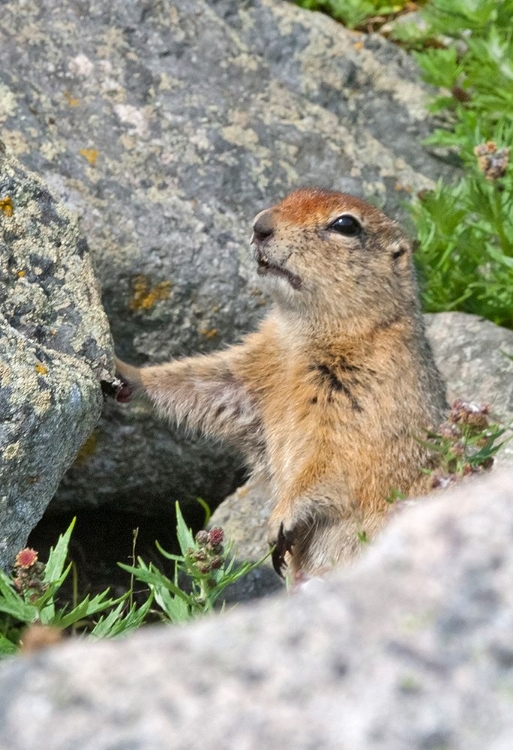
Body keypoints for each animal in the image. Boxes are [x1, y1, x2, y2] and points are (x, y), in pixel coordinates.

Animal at [114, 188, 446, 580]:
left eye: (345, 225)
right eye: (290, 195)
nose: (260, 225)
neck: (302, 335)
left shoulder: (369, 390)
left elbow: (336, 459)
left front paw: (280, 522)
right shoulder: (257, 364)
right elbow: (209, 382)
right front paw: (125, 372)